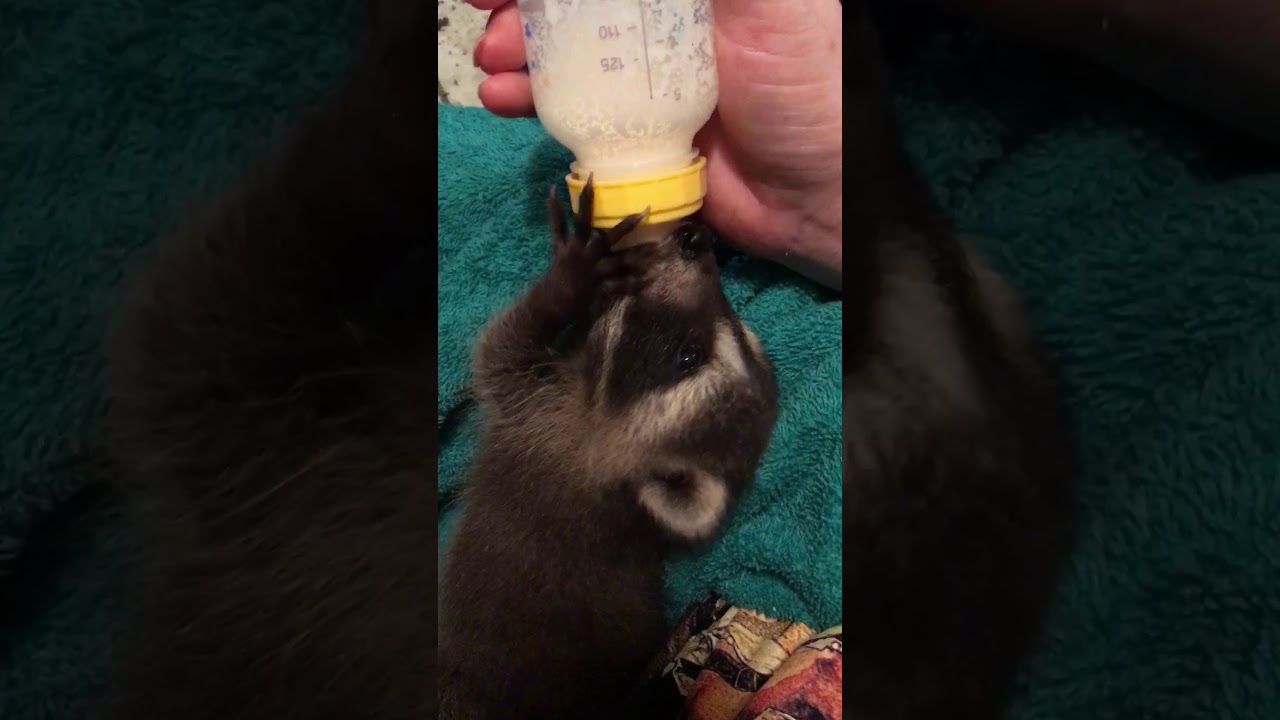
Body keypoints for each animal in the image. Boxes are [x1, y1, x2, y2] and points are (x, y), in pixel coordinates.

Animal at [437, 182, 780, 719]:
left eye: (688, 356)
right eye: (736, 328)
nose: (695, 238)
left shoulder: (541, 417)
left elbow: (502, 345)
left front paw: (567, 287)